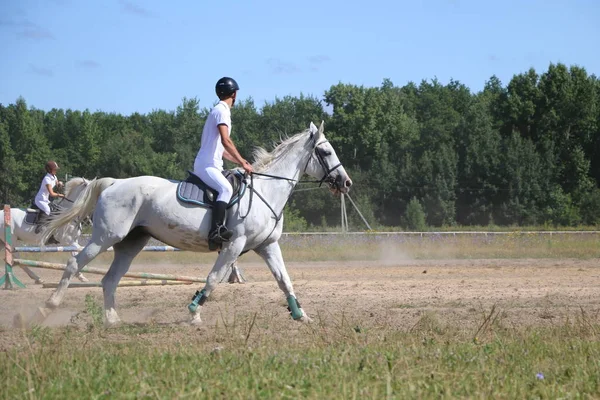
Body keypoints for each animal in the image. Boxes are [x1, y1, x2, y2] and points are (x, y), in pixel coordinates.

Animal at [43, 122, 352, 328]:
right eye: (326, 152)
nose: (346, 183)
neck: (268, 190)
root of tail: (114, 183)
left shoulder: (267, 246)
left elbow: (284, 280)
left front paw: (301, 314)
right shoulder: (234, 245)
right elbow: (213, 278)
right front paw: (194, 312)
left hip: (131, 242)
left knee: (109, 279)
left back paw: (112, 320)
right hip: (105, 237)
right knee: (74, 263)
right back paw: (50, 306)